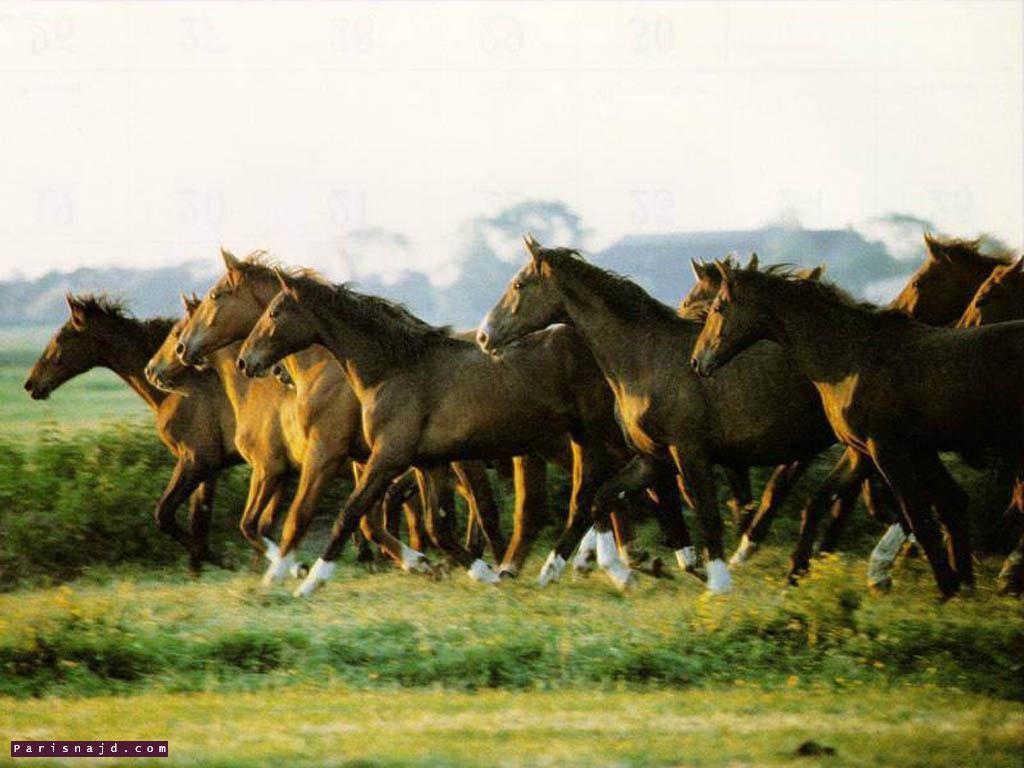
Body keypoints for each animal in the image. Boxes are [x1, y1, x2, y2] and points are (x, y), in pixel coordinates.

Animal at [24, 294, 239, 572]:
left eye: (60, 339)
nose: (31, 384)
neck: (178, 389)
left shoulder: (198, 460)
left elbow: (164, 515)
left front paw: (227, 560)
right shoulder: (208, 469)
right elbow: (198, 522)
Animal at [237, 268, 692, 596]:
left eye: (274, 312)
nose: (246, 361)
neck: (394, 370)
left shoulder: (387, 457)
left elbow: (347, 514)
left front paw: (310, 580)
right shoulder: (430, 464)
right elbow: (438, 527)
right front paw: (481, 573)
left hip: (603, 435)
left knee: (640, 481)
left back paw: (656, 564)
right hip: (582, 439)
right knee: (593, 496)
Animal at [477, 236, 839, 594]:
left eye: (518, 284)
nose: (484, 336)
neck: (646, 357)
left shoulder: (689, 450)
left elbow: (704, 510)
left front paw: (717, 582)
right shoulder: (654, 456)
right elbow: (605, 498)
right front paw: (556, 571)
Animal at [691, 261, 1024, 597]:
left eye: (718, 307)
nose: (696, 361)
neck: (851, 359)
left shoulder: (887, 450)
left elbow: (919, 518)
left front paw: (947, 591)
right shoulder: (870, 451)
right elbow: (820, 503)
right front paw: (794, 576)